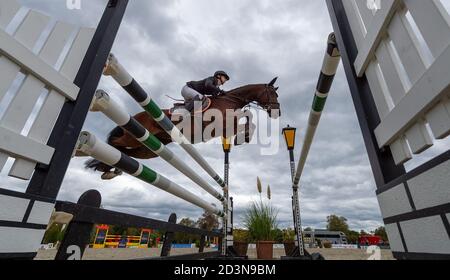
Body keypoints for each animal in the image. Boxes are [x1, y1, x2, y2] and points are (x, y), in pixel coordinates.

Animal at [85, 77, 280, 179]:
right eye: (273, 93)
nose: (277, 112)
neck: (229, 100)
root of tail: (136, 116)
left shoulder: (226, 128)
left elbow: (248, 118)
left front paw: (244, 136)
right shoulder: (223, 123)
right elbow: (247, 116)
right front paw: (245, 136)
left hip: (149, 149)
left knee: (127, 151)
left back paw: (110, 168)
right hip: (133, 136)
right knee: (115, 142)